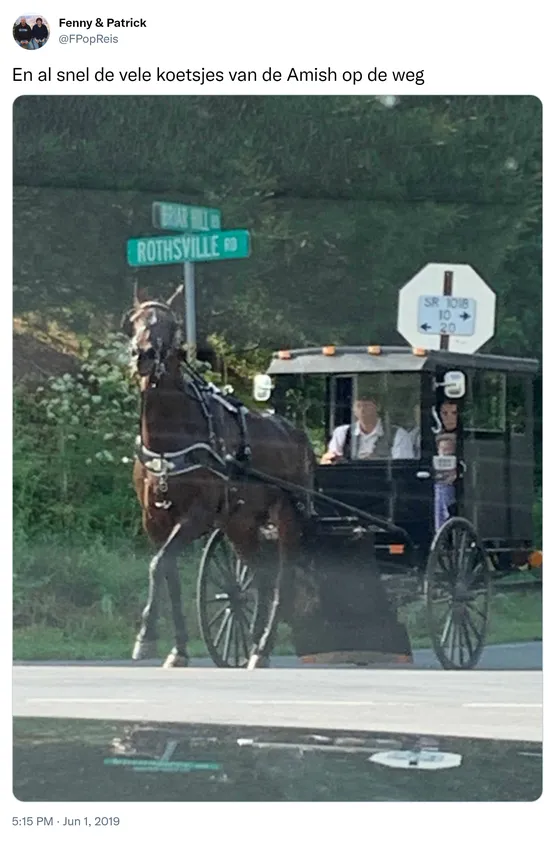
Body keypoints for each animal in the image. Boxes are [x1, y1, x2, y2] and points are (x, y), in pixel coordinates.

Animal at [121, 286, 314, 668]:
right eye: (134, 321)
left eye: (171, 325)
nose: (144, 356)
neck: (171, 437)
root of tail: (296, 433)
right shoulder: (154, 520)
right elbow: (168, 571)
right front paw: (178, 649)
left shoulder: (197, 514)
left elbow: (158, 564)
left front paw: (145, 636)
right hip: (240, 524)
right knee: (261, 578)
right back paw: (253, 644)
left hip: (287, 517)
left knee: (282, 583)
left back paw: (262, 647)